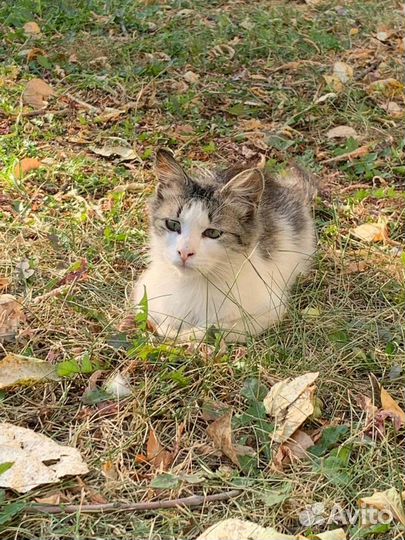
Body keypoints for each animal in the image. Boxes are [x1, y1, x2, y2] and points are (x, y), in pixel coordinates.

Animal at [132, 149, 316, 342]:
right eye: (173, 224)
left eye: (213, 233)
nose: (184, 253)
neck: (191, 284)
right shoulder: (144, 294)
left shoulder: (268, 312)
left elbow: (213, 328)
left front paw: (183, 334)